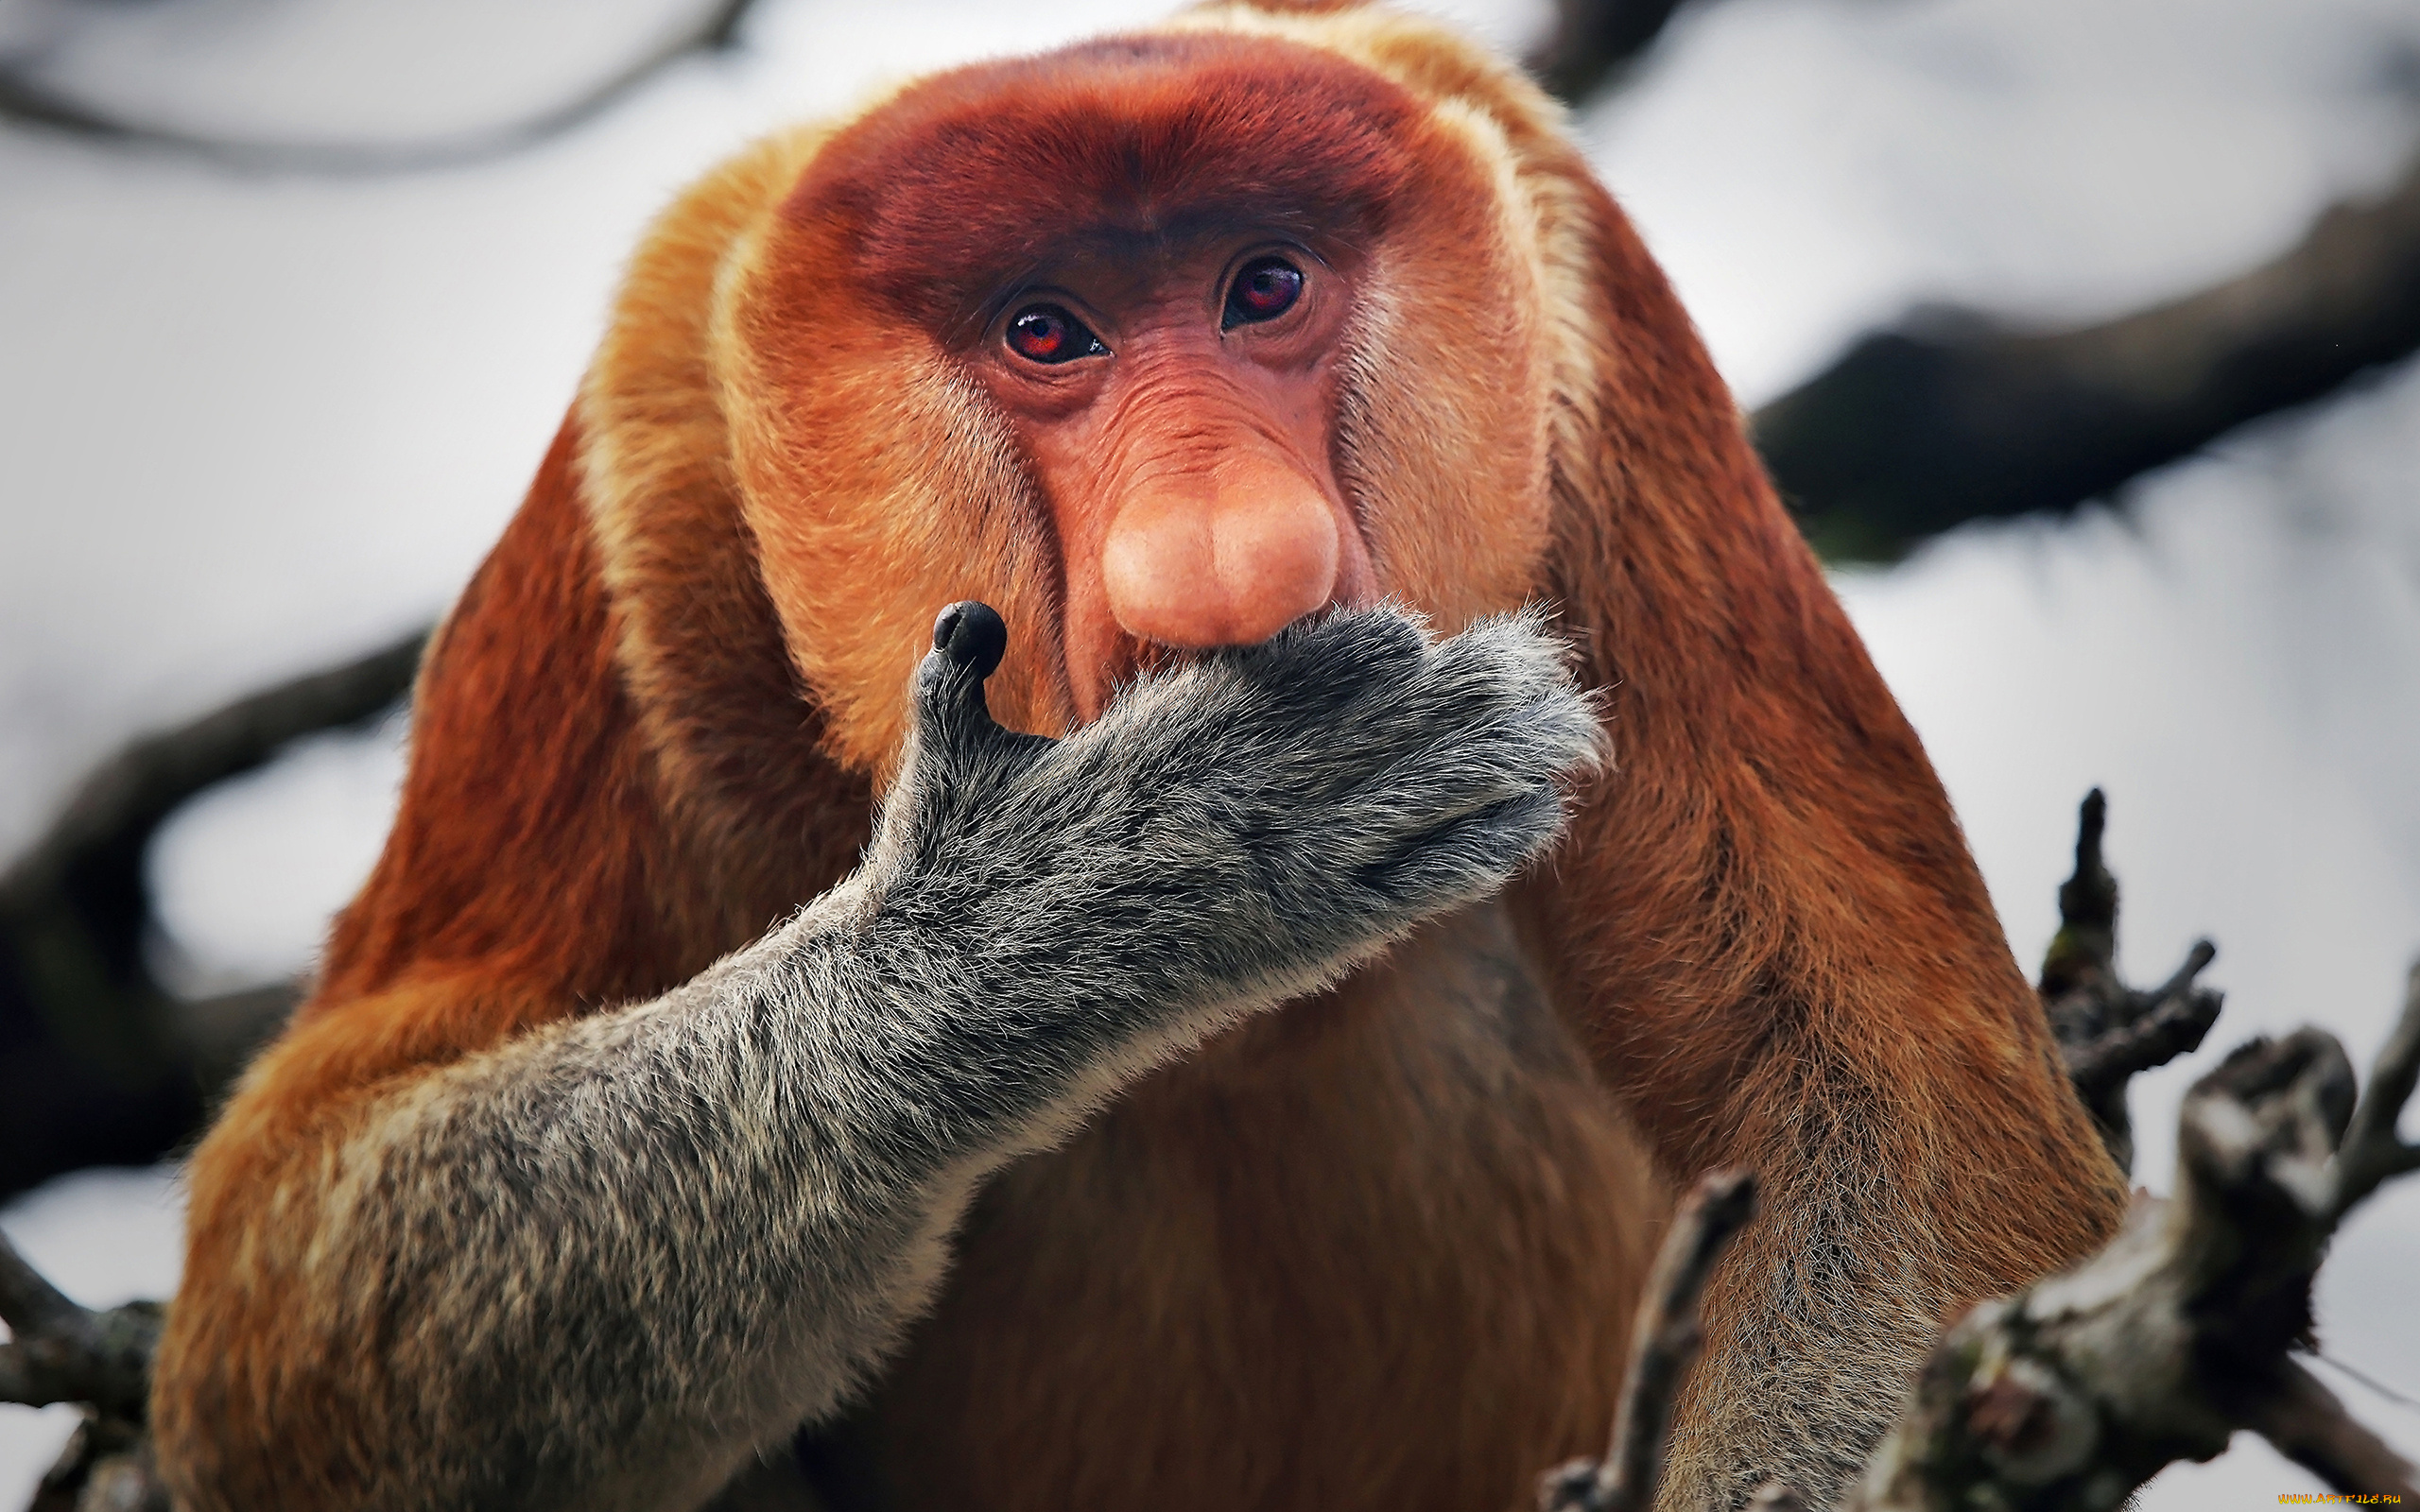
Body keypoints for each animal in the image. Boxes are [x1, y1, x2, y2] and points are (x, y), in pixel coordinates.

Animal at [151, 6, 2129, 1500]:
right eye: (1047, 331)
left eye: (1265, 284)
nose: (1232, 560)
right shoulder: (646, 472)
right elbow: (287, 1291)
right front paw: (1150, 867)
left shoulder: (1586, 313)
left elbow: (1891, 1134)